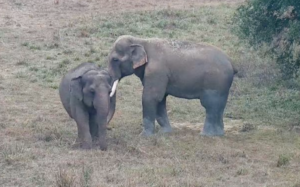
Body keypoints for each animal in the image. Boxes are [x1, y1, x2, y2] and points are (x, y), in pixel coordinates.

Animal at [107, 35, 237, 137]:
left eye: (115, 60)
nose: (109, 127)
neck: (141, 40)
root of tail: (231, 62)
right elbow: (161, 100)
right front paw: (165, 132)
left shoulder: (157, 71)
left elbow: (151, 97)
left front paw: (144, 136)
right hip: (222, 86)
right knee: (219, 106)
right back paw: (219, 134)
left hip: (214, 83)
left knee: (210, 105)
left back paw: (205, 135)